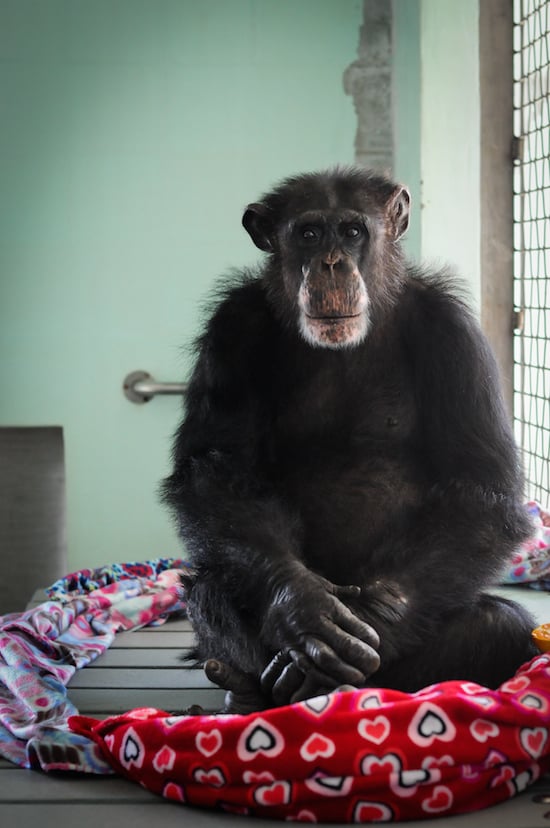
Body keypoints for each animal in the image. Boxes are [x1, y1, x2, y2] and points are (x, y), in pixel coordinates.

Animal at [163, 167, 540, 712]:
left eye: (353, 232)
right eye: (309, 233)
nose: (331, 263)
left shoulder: (455, 334)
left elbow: (483, 491)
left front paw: (379, 619)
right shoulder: (231, 328)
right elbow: (216, 468)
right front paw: (300, 606)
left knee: (498, 626)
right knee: (208, 593)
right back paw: (253, 690)